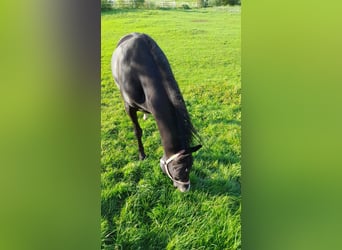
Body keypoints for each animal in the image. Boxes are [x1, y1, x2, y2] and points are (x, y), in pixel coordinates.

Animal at [111, 32, 202, 191]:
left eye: (191, 166)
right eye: (176, 170)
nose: (185, 189)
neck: (140, 71)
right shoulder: (128, 107)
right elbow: (137, 131)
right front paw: (142, 155)